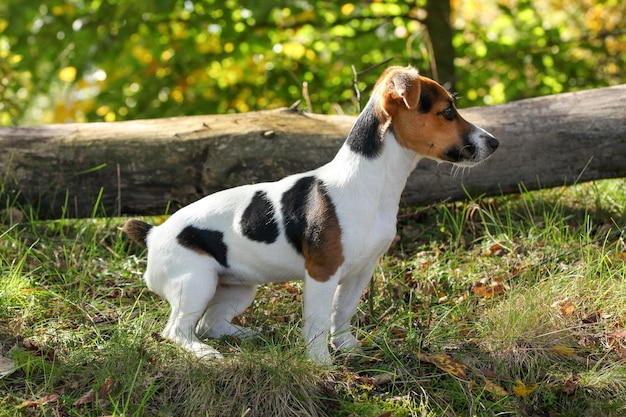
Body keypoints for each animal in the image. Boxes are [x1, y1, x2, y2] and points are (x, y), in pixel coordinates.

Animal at [122, 66, 498, 364]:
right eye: (447, 112)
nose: (494, 143)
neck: (372, 182)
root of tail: (153, 233)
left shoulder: (361, 271)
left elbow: (342, 312)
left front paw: (346, 346)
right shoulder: (322, 273)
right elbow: (317, 320)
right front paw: (320, 362)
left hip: (238, 288)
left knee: (209, 324)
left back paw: (252, 336)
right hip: (196, 282)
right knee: (178, 329)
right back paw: (203, 353)